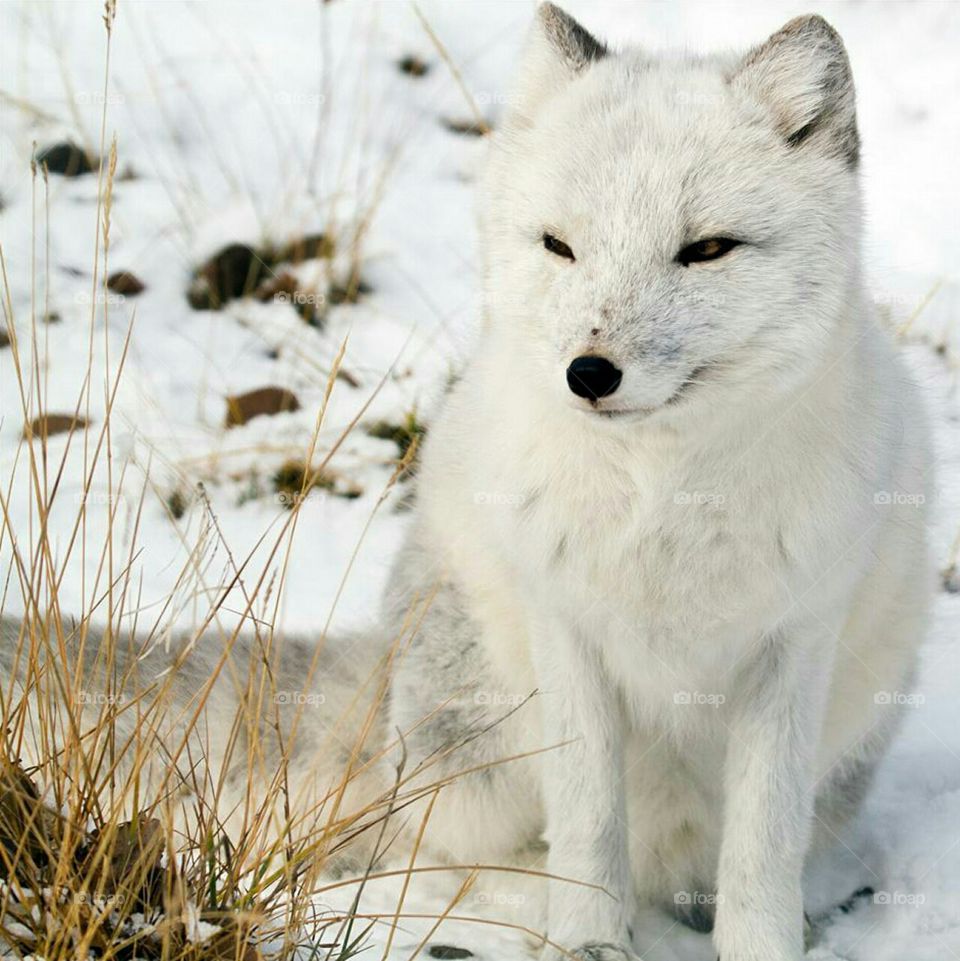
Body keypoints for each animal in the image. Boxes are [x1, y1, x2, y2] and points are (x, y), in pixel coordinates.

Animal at [0, 5, 928, 960]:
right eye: (560, 246)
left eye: (706, 250)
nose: (588, 373)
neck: (661, 500)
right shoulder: (567, 631)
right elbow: (588, 824)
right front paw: (590, 941)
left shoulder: (792, 646)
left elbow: (763, 845)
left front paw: (763, 944)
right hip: (470, 719)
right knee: (452, 849)